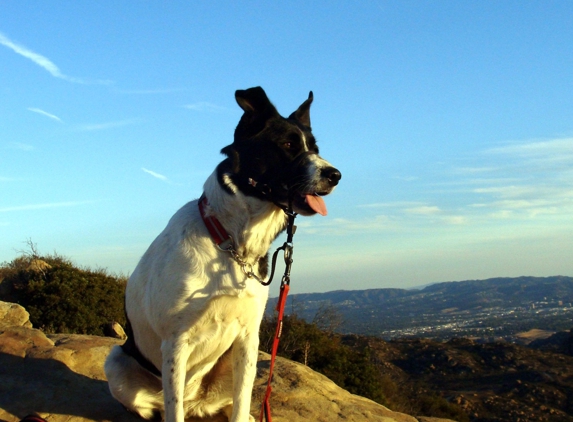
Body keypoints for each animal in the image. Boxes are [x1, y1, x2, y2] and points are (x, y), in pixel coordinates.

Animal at [104, 86, 340, 422]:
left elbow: (241, 404)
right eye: (287, 145)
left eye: (315, 148)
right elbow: (172, 409)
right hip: (117, 362)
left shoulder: (248, 337)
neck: (231, 243)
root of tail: (196, 404)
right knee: (162, 407)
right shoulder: (175, 342)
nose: (336, 175)